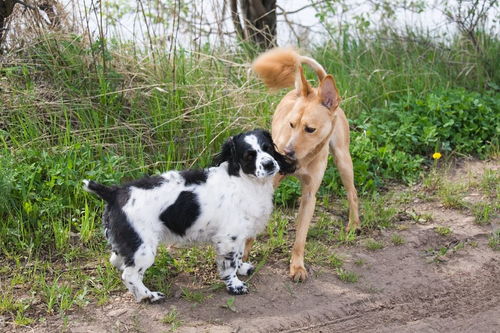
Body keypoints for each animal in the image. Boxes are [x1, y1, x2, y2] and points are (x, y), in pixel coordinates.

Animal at [81, 129, 292, 300]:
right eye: (249, 155)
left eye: (268, 148)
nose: (269, 164)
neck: (243, 180)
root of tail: (114, 193)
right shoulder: (228, 237)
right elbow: (229, 263)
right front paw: (235, 285)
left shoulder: (238, 234)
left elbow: (238, 256)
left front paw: (242, 268)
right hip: (144, 248)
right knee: (130, 275)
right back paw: (149, 296)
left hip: (128, 244)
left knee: (117, 262)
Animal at [249, 47, 360, 280]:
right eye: (291, 125)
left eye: (310, 129)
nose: (285, 153)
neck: (302, 159)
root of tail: (316, 88)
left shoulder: (310, 195)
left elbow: (301, 237)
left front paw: (297, 266)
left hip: (343, 159)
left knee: (352, 193)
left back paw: (354, 224)